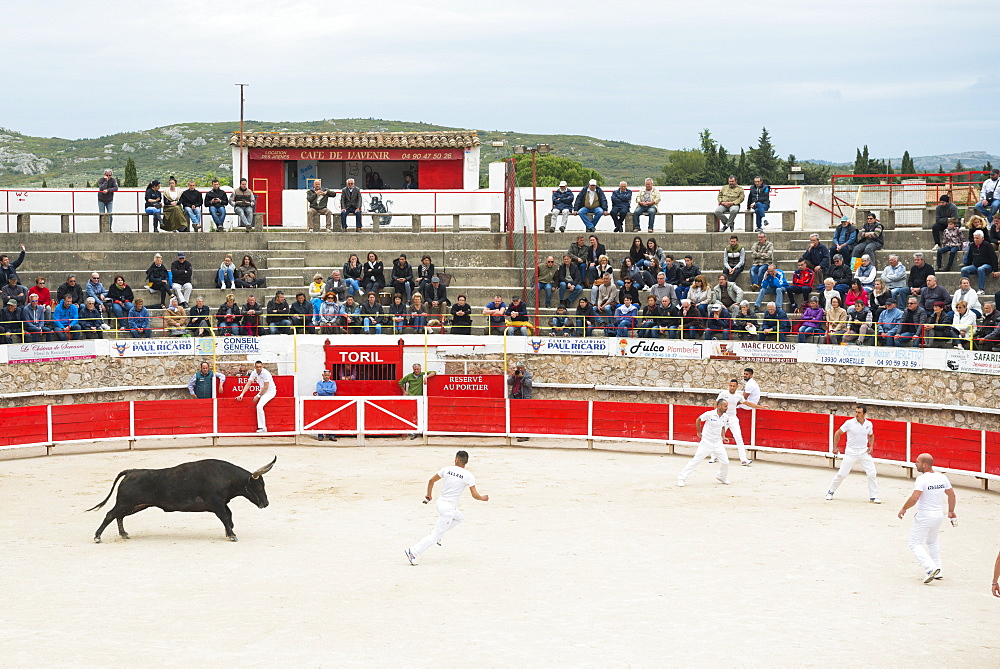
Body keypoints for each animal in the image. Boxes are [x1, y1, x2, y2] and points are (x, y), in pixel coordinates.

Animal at [87, 454, 276, 544]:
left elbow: (229, 516)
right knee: (110, 515)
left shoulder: (221, 503)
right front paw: (231, 535)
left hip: (137, 505)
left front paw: (229, 531)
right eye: (259, 487)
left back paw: (124, 534)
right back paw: (97, 537)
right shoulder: (216, 503)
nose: (266, 503)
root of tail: (131, 471)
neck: (227, 477)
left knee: (119, 516)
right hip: (126, 502)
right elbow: (225, 517)